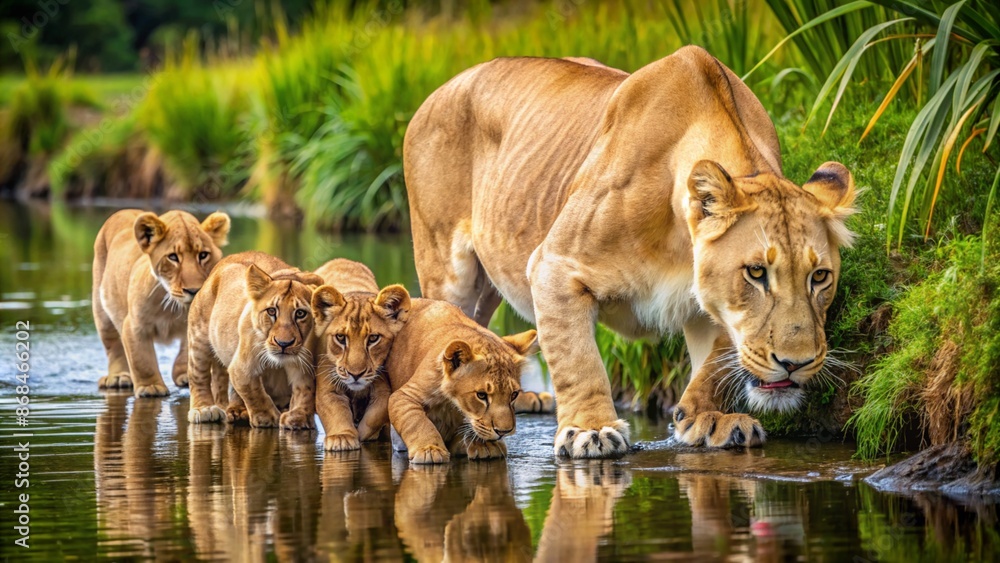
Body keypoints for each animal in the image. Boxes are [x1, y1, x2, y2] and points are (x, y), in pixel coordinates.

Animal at [92, 209, 230, 397]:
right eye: (173, 257)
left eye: (203, 255)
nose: (194, 290)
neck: (173, 307)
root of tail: (123, 211)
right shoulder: (134, 325)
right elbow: (142, 360)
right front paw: (150, 387)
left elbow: (187, 351)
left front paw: (185, 374)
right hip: (102, 311)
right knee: (113, 346)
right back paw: (119, 377)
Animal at [185, 250, 335, 429]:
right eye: (271, 311)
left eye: (300, 313)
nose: (283, 344)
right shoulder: (242, 367)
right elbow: (253, 390)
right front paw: (268, 418)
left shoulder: (304, 365)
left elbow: (305, 390)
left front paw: (299, 418)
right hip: (199, 338)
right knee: (198, 375)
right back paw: (206, 409)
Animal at [310, 258, 411, 451]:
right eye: (341, 337)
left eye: (373, 338)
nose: (355, 374)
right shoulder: (328, 384)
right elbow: (335, 412)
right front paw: (342, 438)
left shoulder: (383, 388)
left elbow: (376, 415)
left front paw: (363, 435)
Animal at [385, 298, 540, 464]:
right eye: (481, 395)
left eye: (514, 395)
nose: (504, 432)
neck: (452, 403)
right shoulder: (403, 396)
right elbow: (416, 421)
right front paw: (430, 450)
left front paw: (484, 445)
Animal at [403, 46, 856, 457]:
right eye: (757, 272)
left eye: (820, 277)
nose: (796, 363)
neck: (679, 243)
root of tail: (441, 88)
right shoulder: (552, 265)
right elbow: (578, 359)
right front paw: (591, 430)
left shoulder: (706, 302)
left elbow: (716, 356)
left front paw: (704, 418)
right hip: (448, 269)